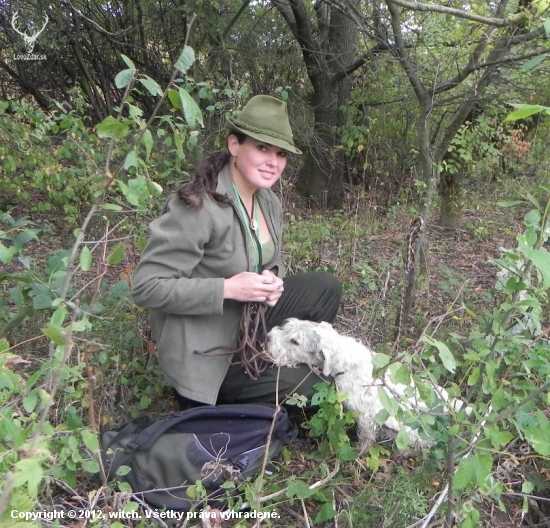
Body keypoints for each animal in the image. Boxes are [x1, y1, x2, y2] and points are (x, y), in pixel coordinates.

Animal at [268, 318, 470, 450]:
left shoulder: (366, 415)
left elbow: (366, 435)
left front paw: (361, 450)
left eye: (295, 341)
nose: (268, 337)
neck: (346, 364)